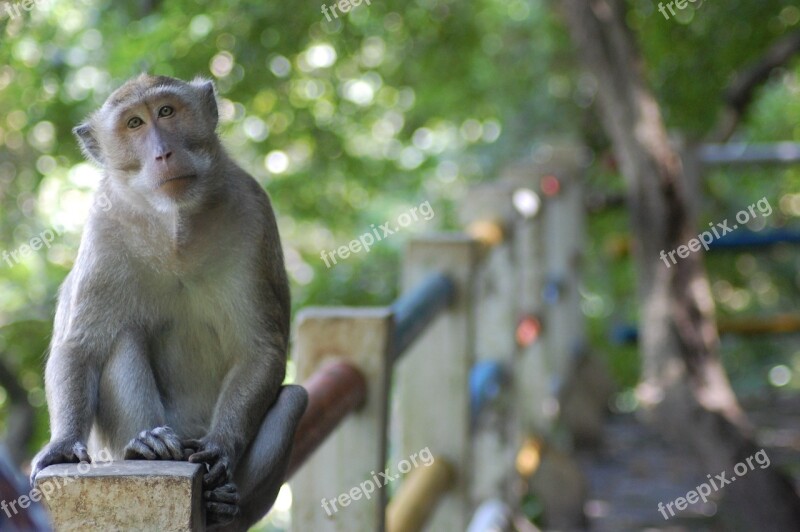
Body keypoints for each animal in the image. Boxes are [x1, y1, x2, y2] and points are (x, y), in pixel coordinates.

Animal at [29, 74, 310, 528]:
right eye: (134, 123)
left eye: (166, 112)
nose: (163, 152)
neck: (176, 225)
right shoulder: (104, 226)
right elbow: (81, 347)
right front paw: (62, 445)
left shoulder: (253, 211)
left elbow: (260, 349)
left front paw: (220, 448)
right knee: (120, 339)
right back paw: (146, 446)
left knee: (293, 400)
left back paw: (223, 504)